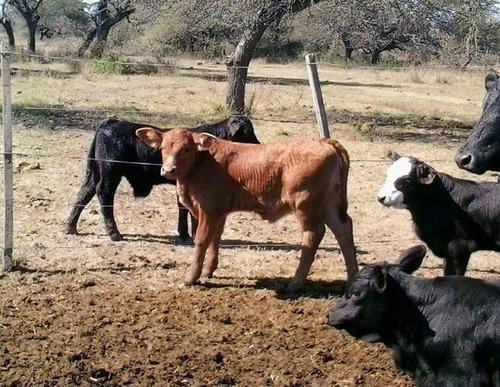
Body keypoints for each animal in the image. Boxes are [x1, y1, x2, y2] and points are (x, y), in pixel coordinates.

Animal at [135, 129, 358, 292]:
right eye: (164, 148)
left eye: (187, 149)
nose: (168, 170)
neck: (202, 163)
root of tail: (324, 142)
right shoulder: (220, 211)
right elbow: (216, 238)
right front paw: (208, 270)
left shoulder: (208, 209)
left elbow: (202, 240)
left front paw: (191, 278)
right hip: (328, 204)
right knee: (343, 230)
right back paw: (353, 280)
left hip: (306, 204)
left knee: (313, 235)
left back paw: (295, 284)